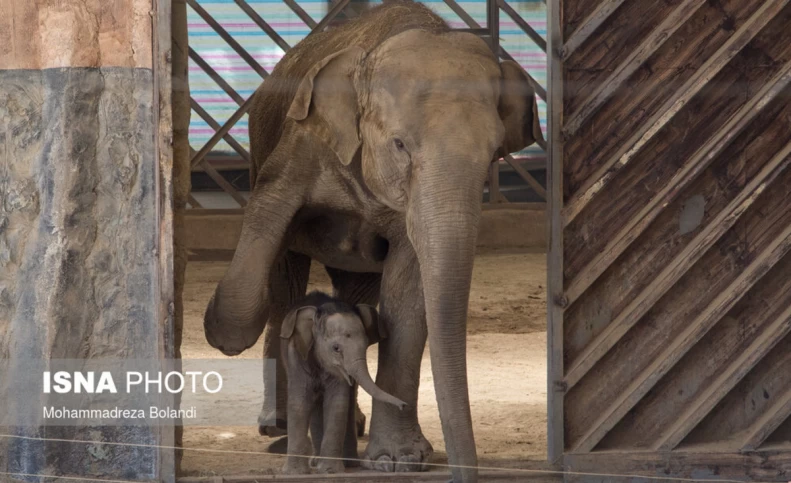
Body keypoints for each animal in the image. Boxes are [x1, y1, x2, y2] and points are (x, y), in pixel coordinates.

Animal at [278, 290, 406, 474]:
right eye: (336, 348)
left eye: (366, 346)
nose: (403, 405)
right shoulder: (297, 357)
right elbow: (299, 403)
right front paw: (294, 473)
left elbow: (337, 403)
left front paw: (330, 471)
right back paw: (316, 461)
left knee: (345, 403)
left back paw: (348, 462)